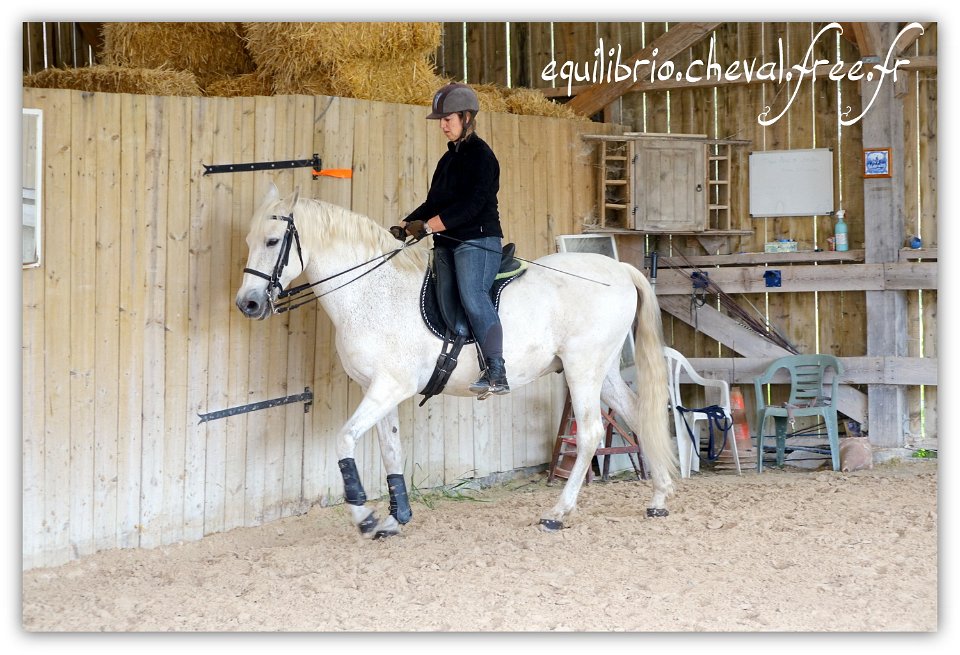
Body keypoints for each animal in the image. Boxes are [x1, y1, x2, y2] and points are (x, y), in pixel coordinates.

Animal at [236, 183, 680, 540]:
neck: (373, 291)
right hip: (602, 370)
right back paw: (658, 498)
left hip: (582, 369)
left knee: (590, 433)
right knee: (638, 416)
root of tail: (619, 270)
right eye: (249, 240)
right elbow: (391, 450)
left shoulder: (390, 386)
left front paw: (365, 516)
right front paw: (395, 518)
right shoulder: (378, 390)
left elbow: (344, 439)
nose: (248, 304)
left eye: (273, 241)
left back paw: (558, 512)